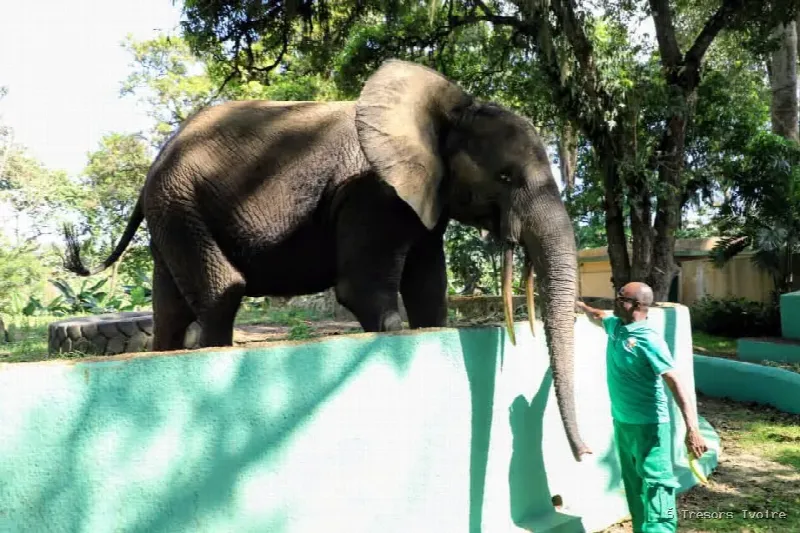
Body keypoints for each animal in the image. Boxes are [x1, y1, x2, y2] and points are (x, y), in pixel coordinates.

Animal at [63, 59, 591, 461]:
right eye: (505, 177)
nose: (584, 454)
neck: (444, 109)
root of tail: (156, 161)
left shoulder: (422, 197)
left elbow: (429, 292)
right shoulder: (372, 193)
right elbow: (366, 292)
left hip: (171, 211)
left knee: (170, 309)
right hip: (181, 203)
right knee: (221, 294)